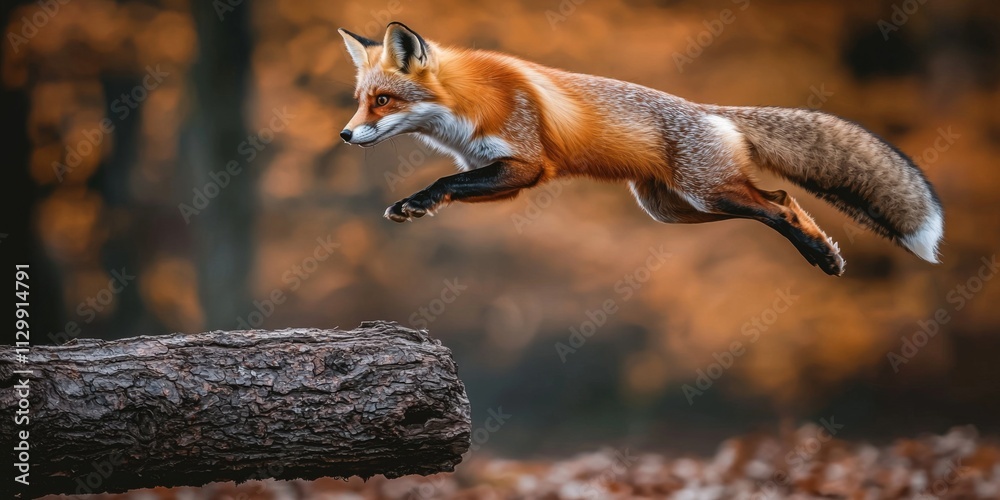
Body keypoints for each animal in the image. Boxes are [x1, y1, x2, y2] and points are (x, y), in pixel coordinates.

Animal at [337, 22, 944, 276]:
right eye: (361, 102)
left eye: (384, 101)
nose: (344, 136)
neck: (466, 106)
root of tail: (710, 110)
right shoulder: (498, 171)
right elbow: (453, 185)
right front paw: (415, 205)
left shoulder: (528, 164)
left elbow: (447, 181)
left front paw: (417, 201)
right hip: (676, 209)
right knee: (774, 206)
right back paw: (822, 251)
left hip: (707, 192)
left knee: (780, 204)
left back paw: (822, 255)